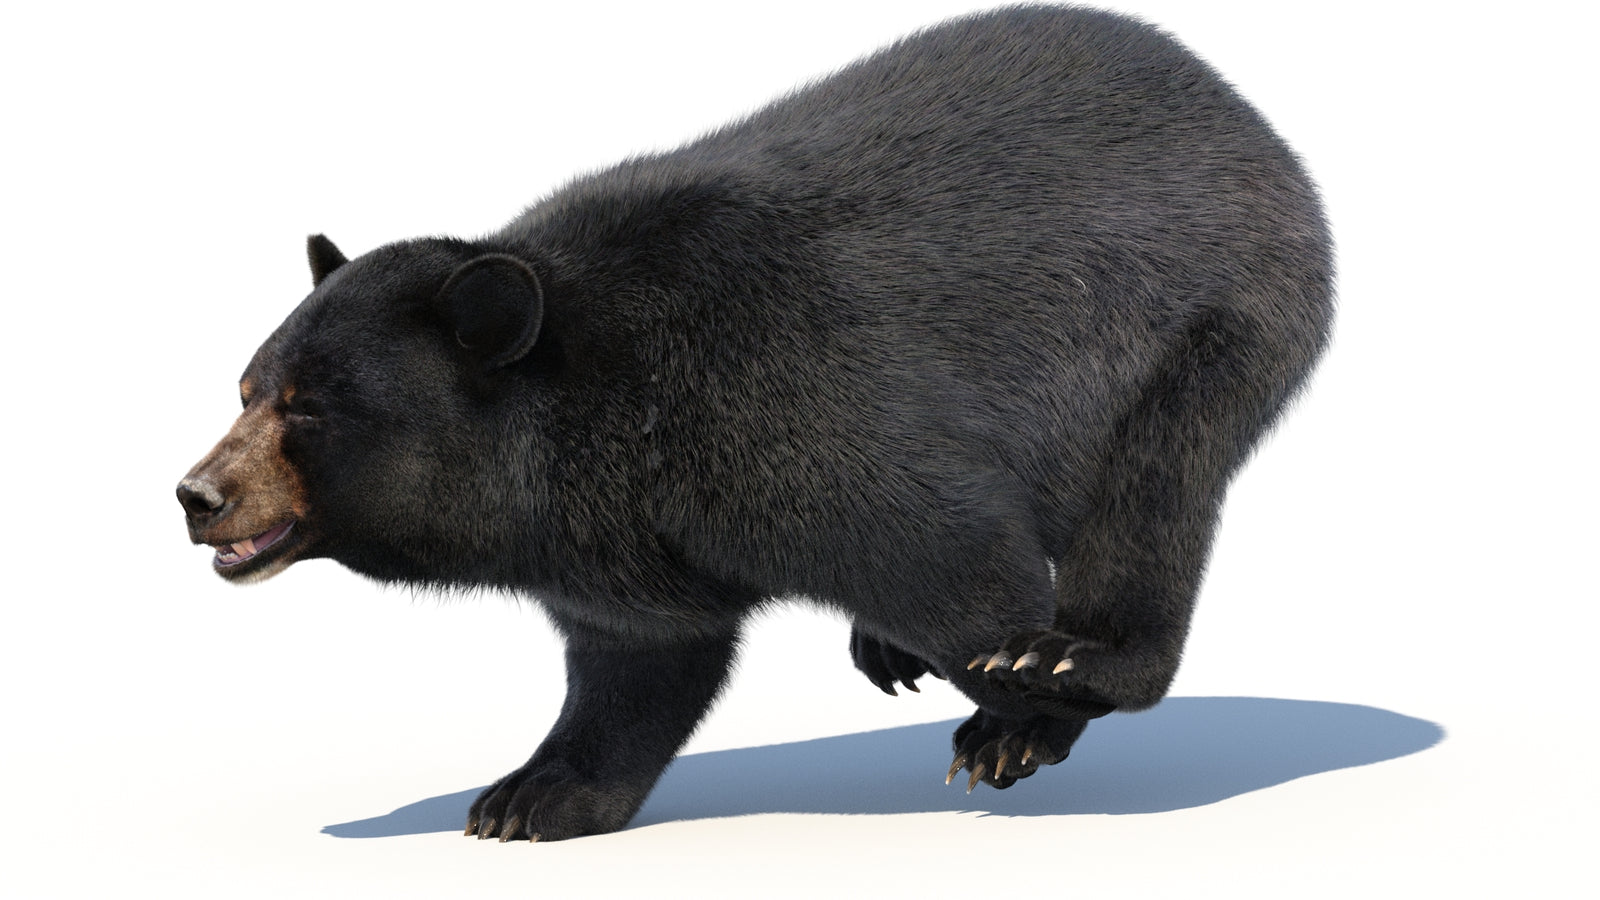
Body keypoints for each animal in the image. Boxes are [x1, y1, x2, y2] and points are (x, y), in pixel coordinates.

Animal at [177, 5, 1333, 842]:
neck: (602, 417)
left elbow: (954, 554)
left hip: (1214, 322)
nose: (196, 496)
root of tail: (1241, 110)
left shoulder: (788, 412)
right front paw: (531, 795)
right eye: (245, 388)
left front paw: (1022, 714)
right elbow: (640, 662)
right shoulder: (615, 543)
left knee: (1150, 492)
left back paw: (1072, 652)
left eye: (311, 406)